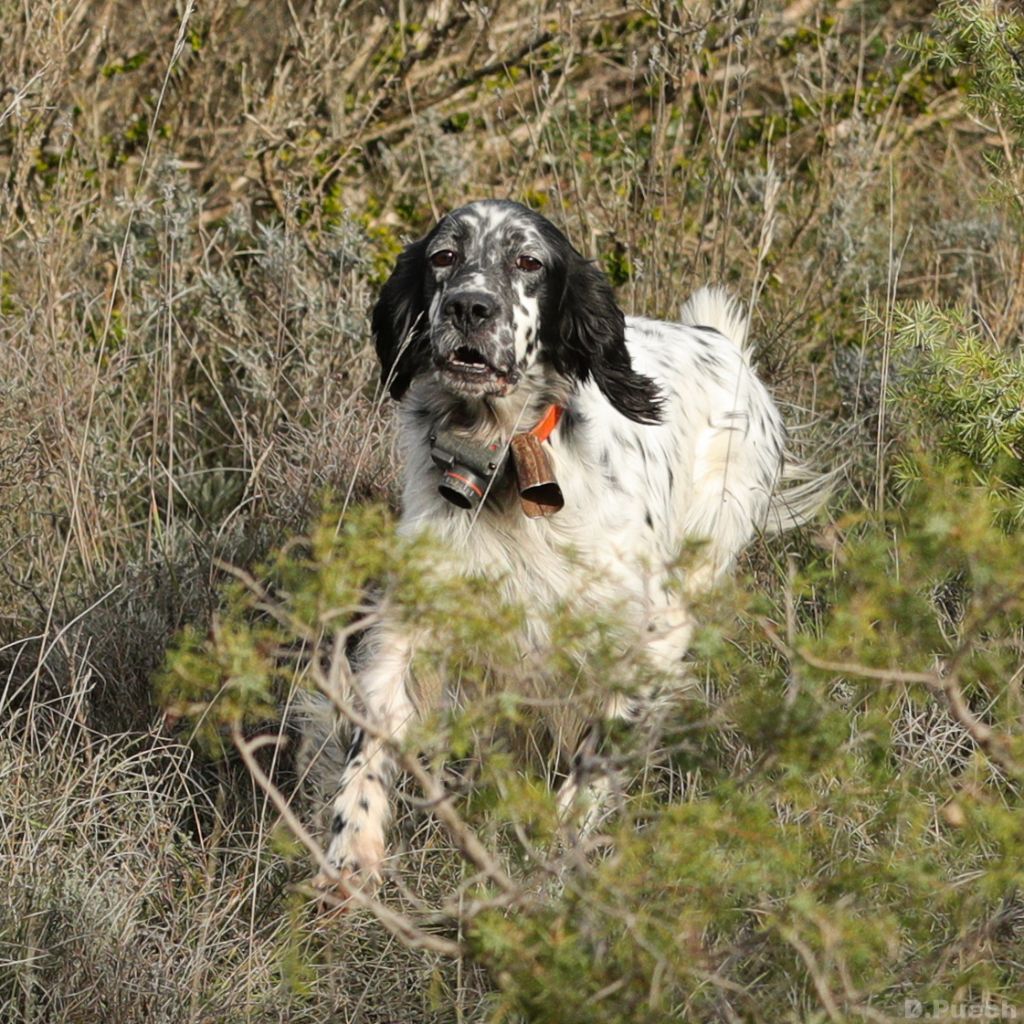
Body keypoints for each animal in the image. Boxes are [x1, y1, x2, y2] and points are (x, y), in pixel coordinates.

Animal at [307, 199, 819, 897]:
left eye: (528, 261)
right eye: (444, 256)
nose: (469, 307)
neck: (502, 460)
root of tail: (719, 340)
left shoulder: (649, 631)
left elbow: (598, 749)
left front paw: (563, 845)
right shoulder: (412, 618)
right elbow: (373, 735)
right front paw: (351, 848)